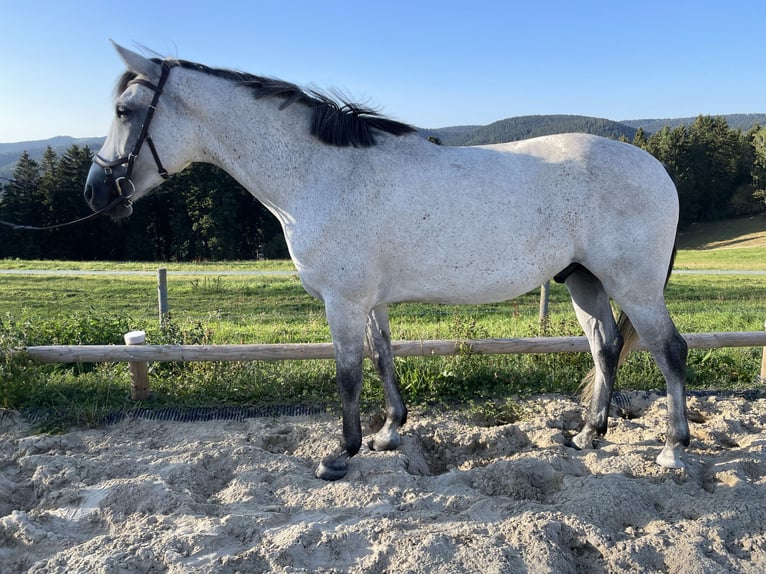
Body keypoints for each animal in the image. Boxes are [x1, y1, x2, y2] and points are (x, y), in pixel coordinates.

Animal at [84, 44, 688, 482]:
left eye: (123, 111)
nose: (96, 193)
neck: (321, 174)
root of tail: (656, 167)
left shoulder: (343, 302)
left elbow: (348, 373)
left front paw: (342, 453)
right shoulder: (369, 302)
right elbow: (382, 359)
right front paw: (388, 434)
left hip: (633, 284)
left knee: (669, 350)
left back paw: (674, 449)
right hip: (584, 281)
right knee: (606, 346)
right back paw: (590, 434)